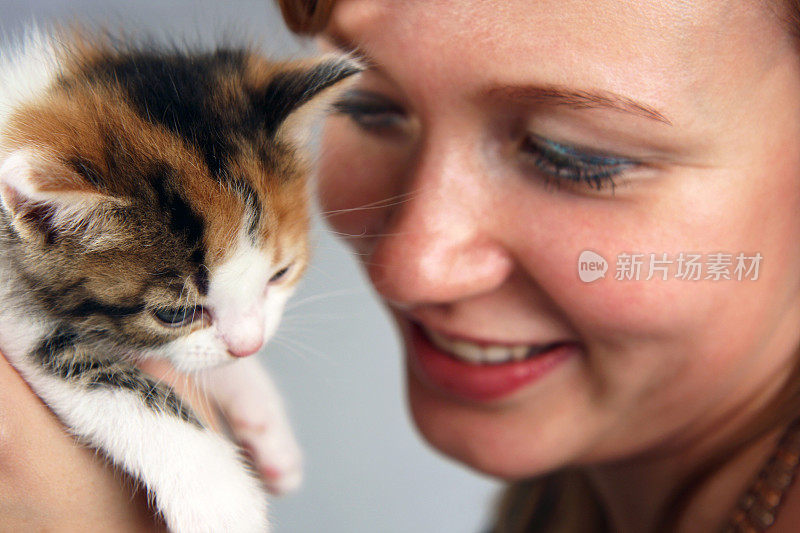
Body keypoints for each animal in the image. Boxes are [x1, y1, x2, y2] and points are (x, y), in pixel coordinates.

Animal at [0, 29, 360, 532]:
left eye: (280, 274)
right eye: (175, 314)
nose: (250, 346)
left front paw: (266, 422)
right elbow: (100, 371)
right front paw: (224, 502)